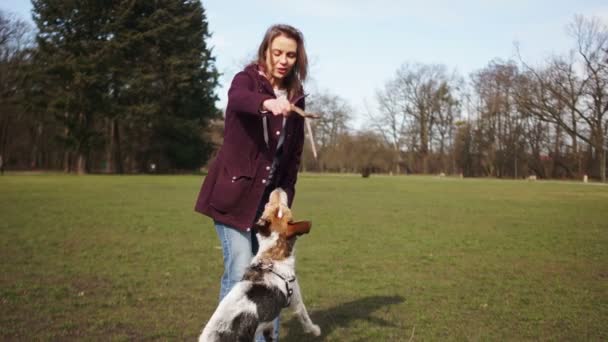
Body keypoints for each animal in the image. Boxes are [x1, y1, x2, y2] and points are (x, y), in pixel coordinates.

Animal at [201, 188, 324, 342]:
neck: (271, 257)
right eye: (281, 208)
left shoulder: (268, 323)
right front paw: (315, 330)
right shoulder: (296, 299)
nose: (278, 188)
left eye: (275, 208)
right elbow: (305, 317)